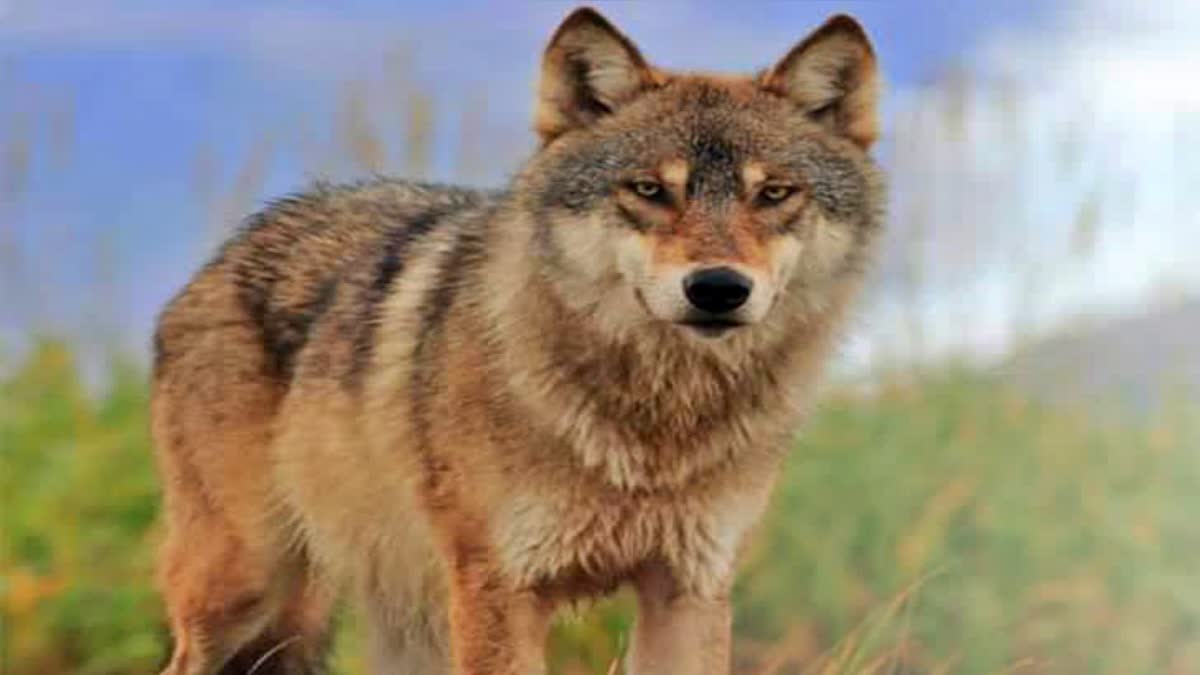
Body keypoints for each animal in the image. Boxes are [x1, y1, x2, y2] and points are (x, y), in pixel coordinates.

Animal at [151, 7, 884, 674]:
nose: (718, 288)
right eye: (649, 189)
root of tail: (222, 255)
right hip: (245, 591)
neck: (652, 431)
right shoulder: (500, 588)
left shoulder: (690, 587)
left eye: (774, 193)